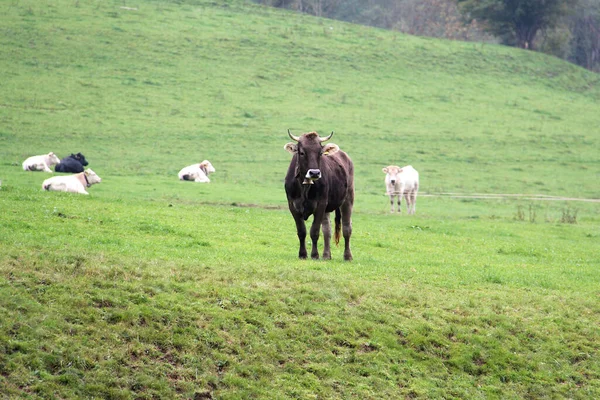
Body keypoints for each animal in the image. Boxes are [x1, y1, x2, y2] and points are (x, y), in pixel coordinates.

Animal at [284, 130, 354, 262]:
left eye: (320, 153)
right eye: (302, 152)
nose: (315, 173)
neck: (305, 187)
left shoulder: (321, 204)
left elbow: (314, 231)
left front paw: (314, 255)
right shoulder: (292, 205)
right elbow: (302, 231)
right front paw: (302, 254)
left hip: (348, 199)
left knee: (347, 228)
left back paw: (347, 256)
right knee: (327, 230)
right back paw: (326, 255)